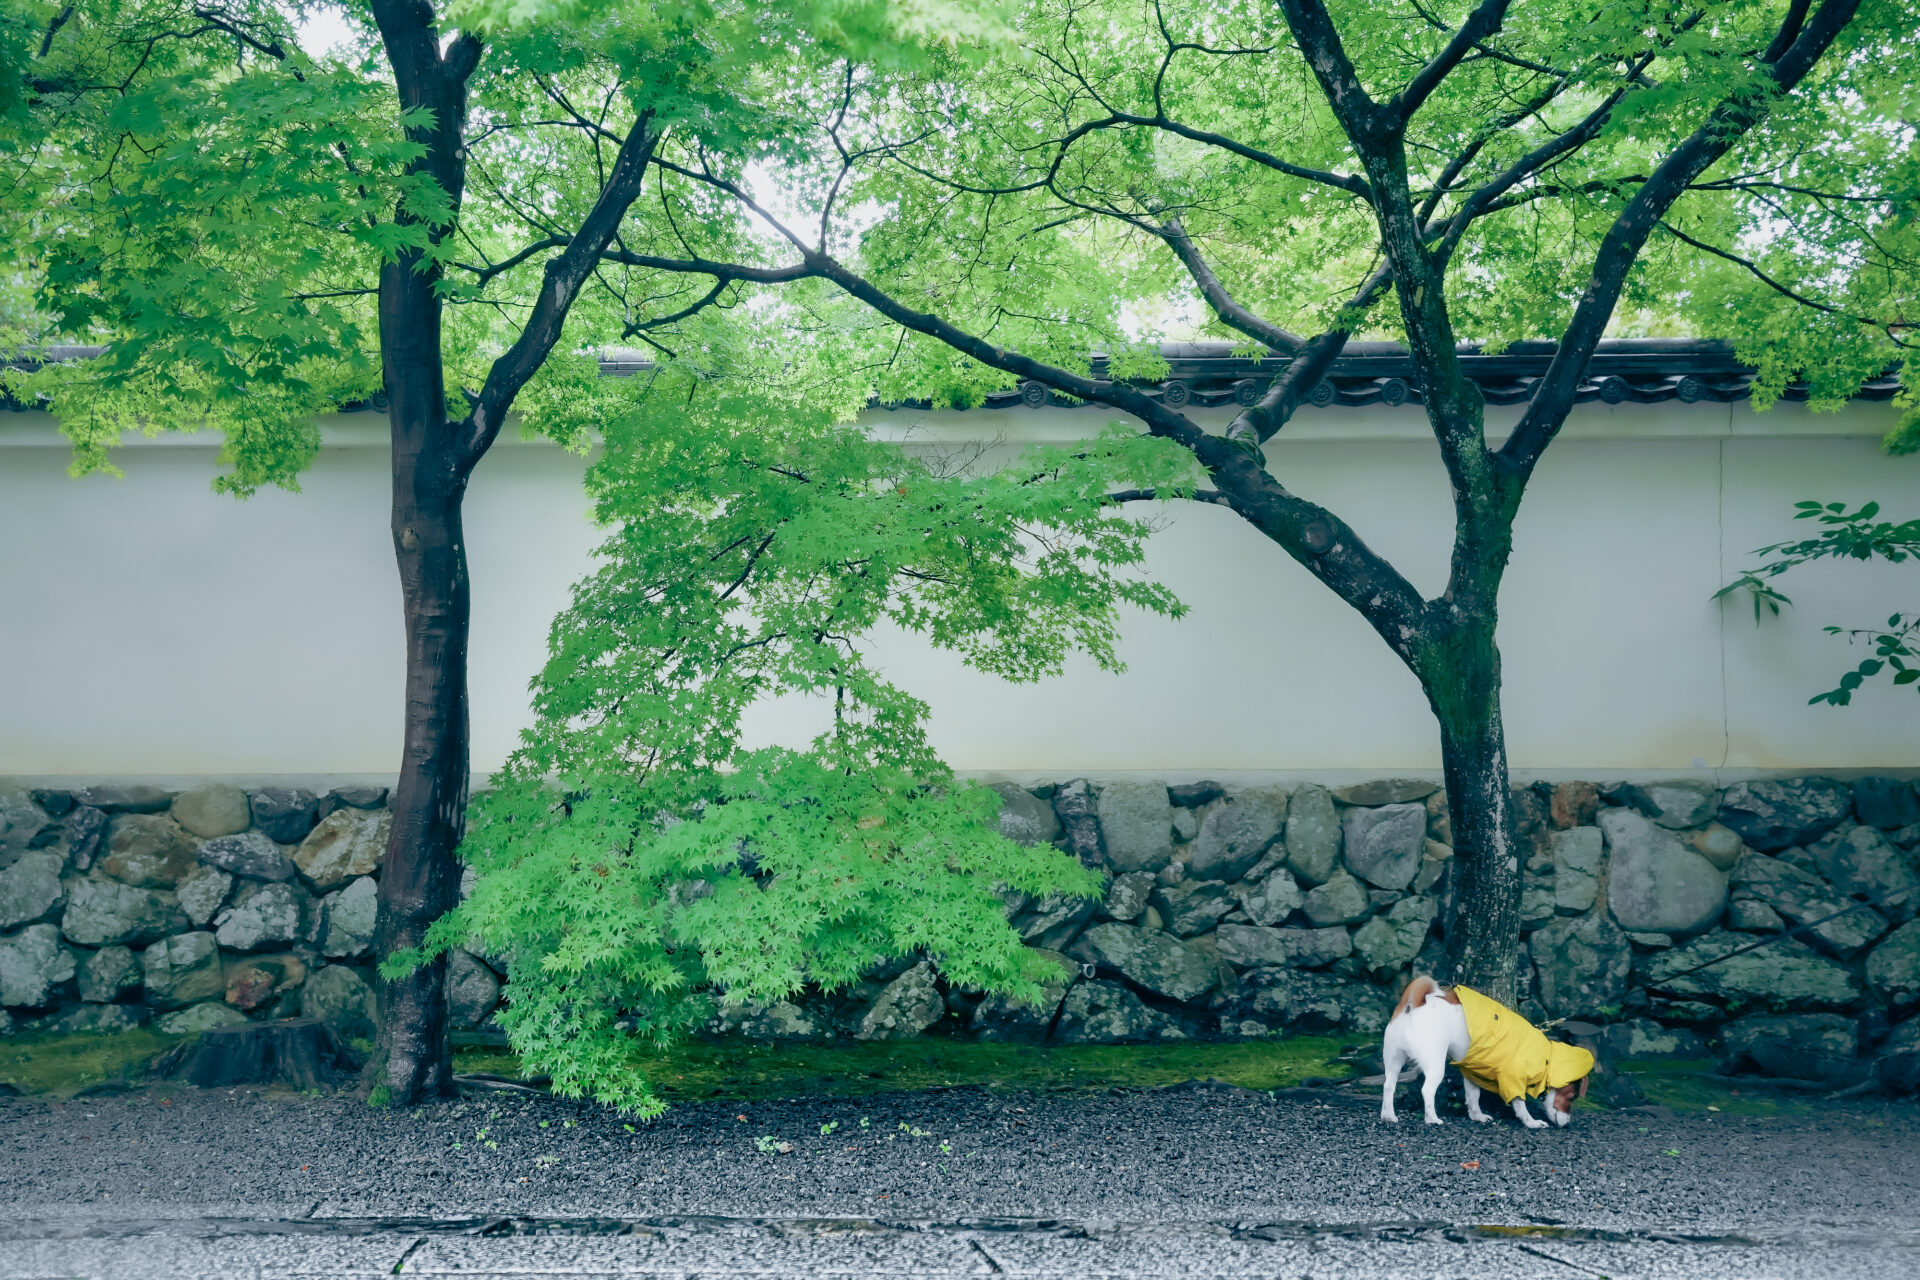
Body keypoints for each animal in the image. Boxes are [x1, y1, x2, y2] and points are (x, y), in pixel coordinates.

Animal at [1374, 974, 1597, 1128]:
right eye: (1571, 1097)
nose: (1567, 1123)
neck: (1546, 1057)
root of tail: (1414, 1006)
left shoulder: (1473, 1073)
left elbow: (1473, 1097)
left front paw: (1477, 1116)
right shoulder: (1513, 1079)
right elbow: (1520, 1105)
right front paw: (1531, 1122)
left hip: (1393, 1060)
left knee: (1388, 1086)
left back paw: (1388, 1115)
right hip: (1435, 1064)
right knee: (1427, 1090)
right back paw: (1432, 1118)